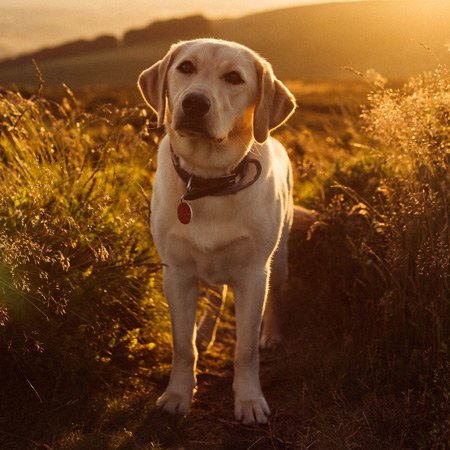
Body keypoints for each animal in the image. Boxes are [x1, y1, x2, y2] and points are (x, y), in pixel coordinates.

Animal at [139, 38, 298, 426]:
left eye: (234, 78)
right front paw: (178, 396)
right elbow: (183, 346)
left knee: (275, 298)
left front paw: (250, 400)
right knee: (215, 296)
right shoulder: (177, 274)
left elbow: (245, 350)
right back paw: (207, 331)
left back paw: (271, 335)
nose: (195, 103)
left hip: (279, 259)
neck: (207, 181)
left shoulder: (253, 275)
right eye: (185, 67)